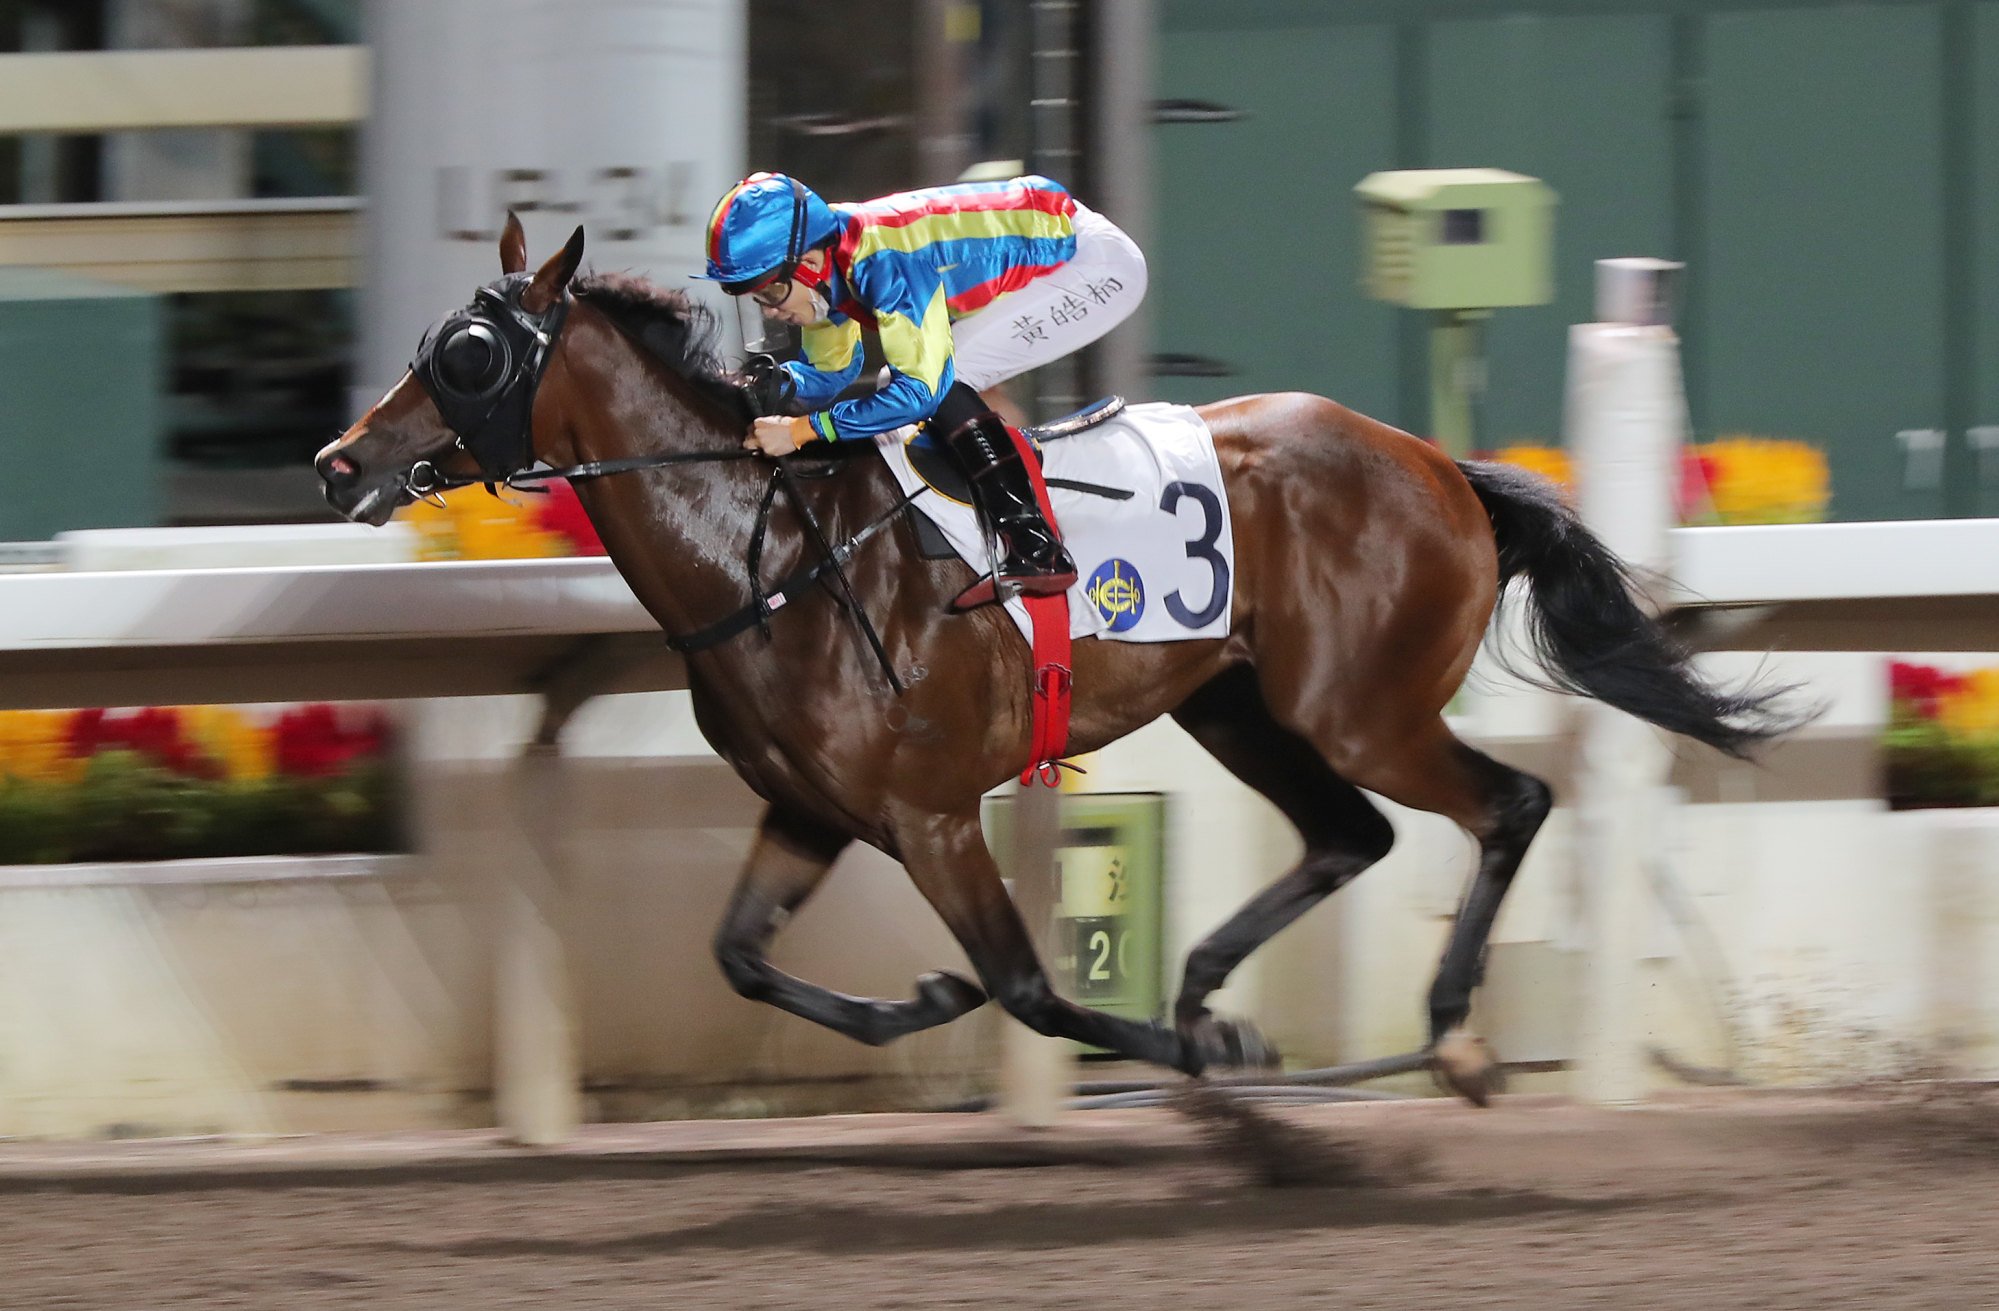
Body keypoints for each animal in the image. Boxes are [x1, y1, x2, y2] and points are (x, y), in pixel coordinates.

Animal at [323, 219, 1799, 1103]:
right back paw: (1217, 979)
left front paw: (1203, 1044)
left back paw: (1445, 1029)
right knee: (1350, 834)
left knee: (1507, 802)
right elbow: (741, 958)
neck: (770, 552)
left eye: (467, 353)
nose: (342, 461)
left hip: (1359, 705)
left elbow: (1033, 989)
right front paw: (933, 995)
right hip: (1239, 704)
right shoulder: (809, 808)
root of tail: (1443, 467)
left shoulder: (927, 814)